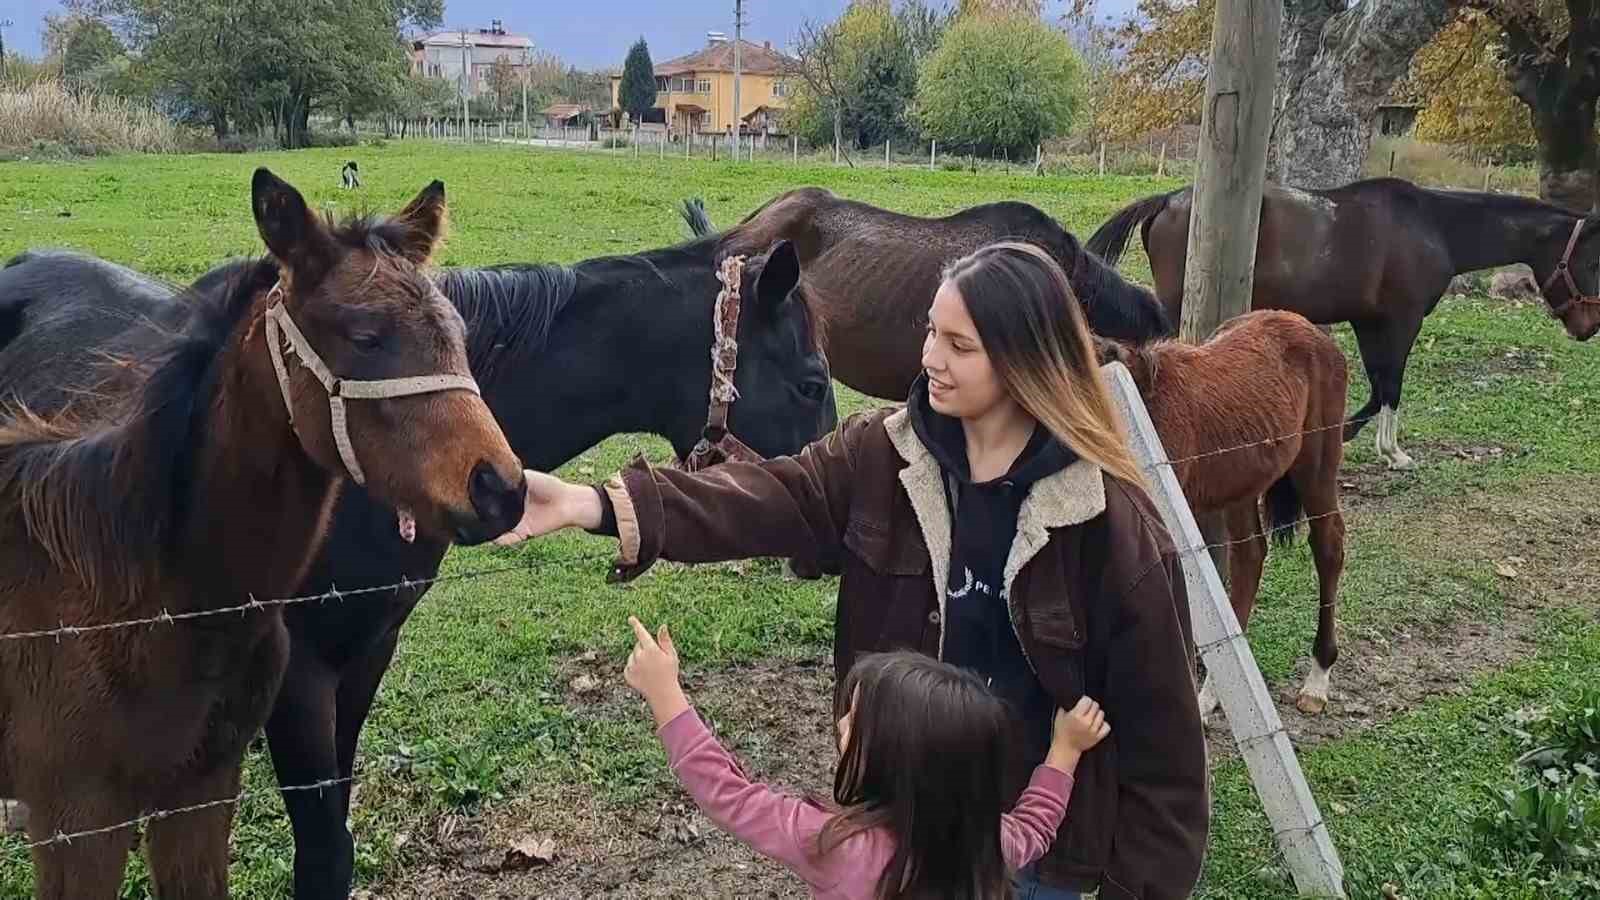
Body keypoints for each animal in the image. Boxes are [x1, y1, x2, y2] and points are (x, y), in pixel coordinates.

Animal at [1088, 176, 1600, 470]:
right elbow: (1390, 385)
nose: (1587, 326)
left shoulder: (1368, 321)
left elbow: (1377, 385)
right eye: (1590, 259)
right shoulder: (1401, 320)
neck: (1431, 226)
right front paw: (1392, 452)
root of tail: (1168, 201)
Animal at [1094, 310, 1344, 714]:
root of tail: (1309, 326)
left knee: (1328, 546)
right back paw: (1212, 694)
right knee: (1250, 556)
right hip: (1243, 482)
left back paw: (1316, 681)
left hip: (1317, 464)